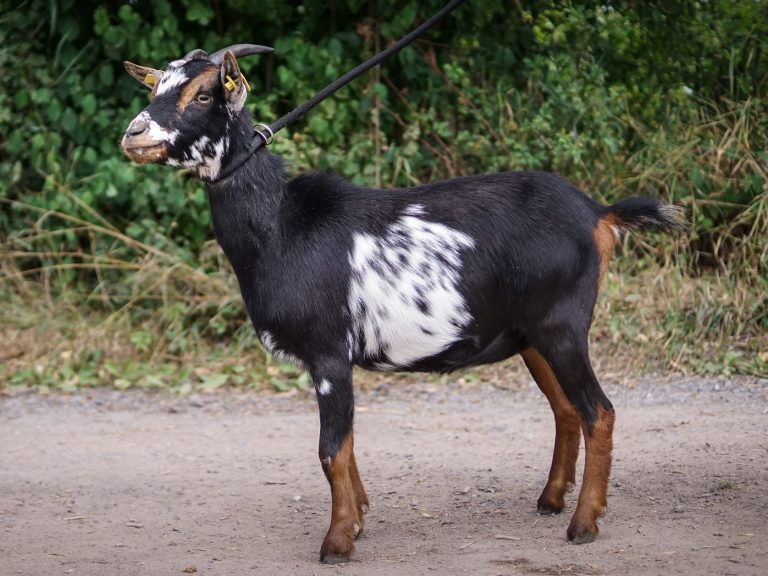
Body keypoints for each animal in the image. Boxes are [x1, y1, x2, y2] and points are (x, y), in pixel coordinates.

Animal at [120, 44, 685, 562]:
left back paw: (584, 523)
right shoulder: (336, 361)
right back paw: (550, 501)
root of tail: (598, 213)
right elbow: (347, 449)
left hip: (562, 326)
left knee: (599, 412)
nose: (134, 134)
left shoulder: (329, 354)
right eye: (154, 88)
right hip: (532, 337)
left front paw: (337, 542)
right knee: (566, 411)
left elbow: (330, 450)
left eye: (204, 93)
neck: (281, 225)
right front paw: (359, 520)